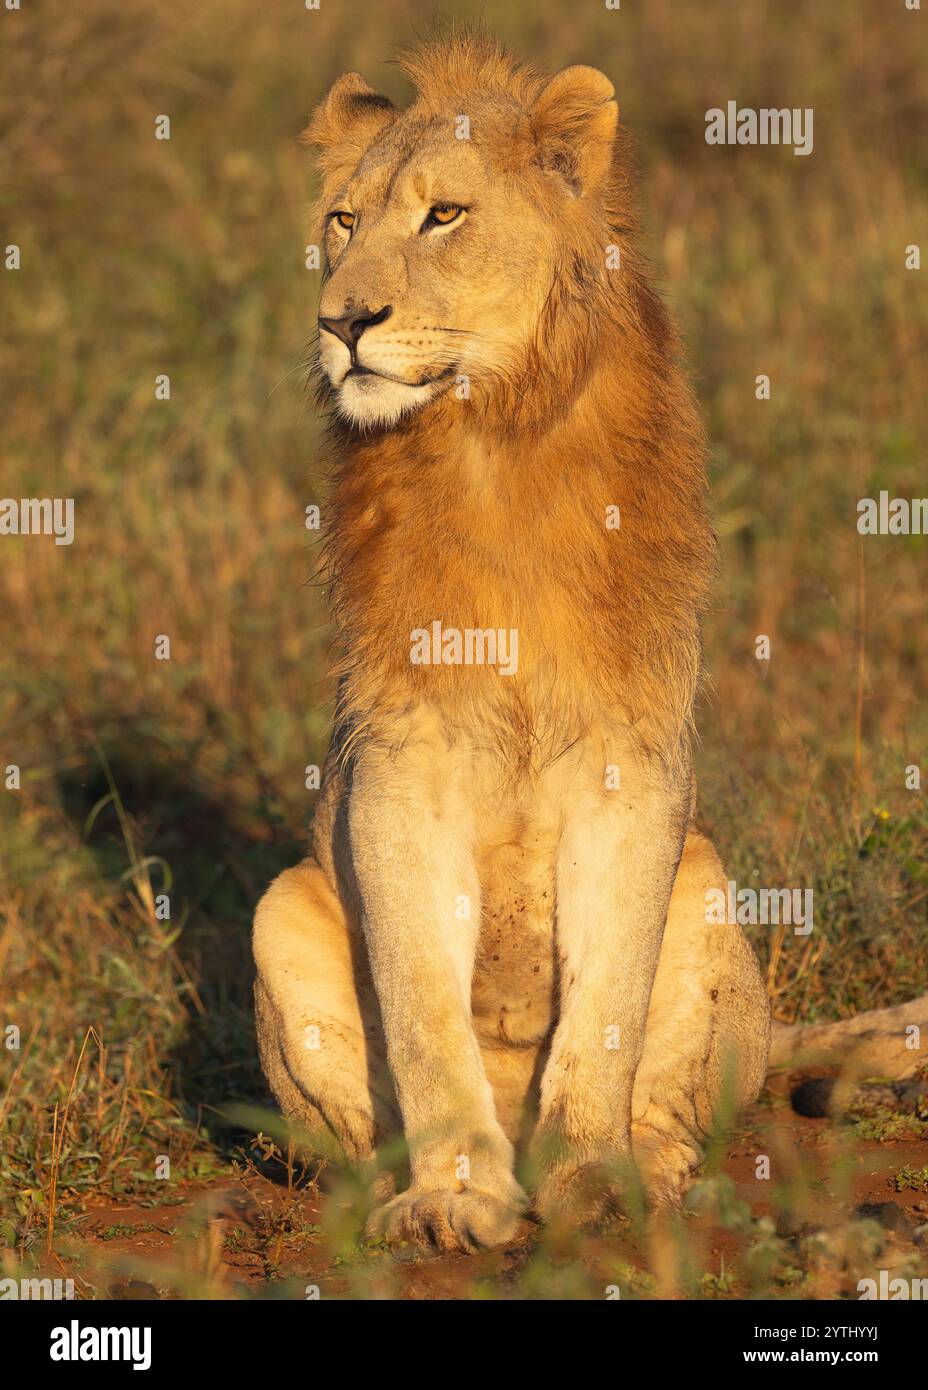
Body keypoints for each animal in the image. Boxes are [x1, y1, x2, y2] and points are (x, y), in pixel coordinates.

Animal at [252, 33, 928, 1253]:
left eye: (444, 216)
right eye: (341, 220)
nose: (341, 322)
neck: (488, 435)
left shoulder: (633, 760)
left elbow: (605, 1009)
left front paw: (592, 1184)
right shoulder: (398, 761)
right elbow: (420, 1014)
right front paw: (455, 1194)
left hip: (708, 889)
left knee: (671, 1098)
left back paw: (655, 1177)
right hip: (279, 910)